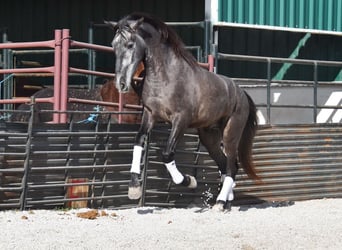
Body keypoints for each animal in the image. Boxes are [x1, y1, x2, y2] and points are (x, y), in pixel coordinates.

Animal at [107, 12, 260, 210]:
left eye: (130, 45)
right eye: (113, 45)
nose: (121, 84)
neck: (166, 76)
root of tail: (242, 93)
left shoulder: (180, 120)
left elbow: (167, 155)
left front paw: (189, 181)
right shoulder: (149, 114)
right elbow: (138, 141)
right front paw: (134, 188)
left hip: (230, 134)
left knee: (232, 165)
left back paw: (220, 202)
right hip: (209, 136)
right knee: (223, 164)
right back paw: (227, 200)